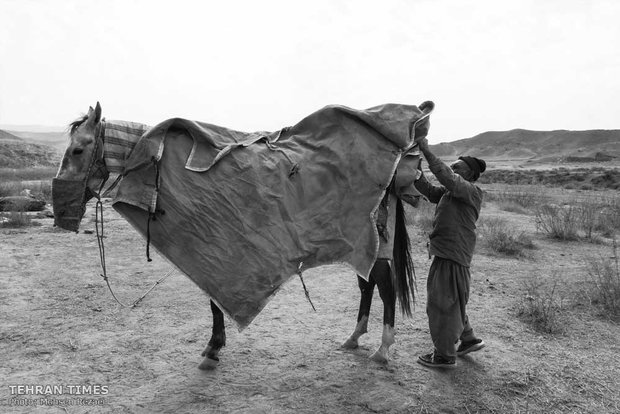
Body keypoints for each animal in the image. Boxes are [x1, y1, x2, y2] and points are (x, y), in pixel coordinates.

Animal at [52, 101, 432, 368]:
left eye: (78, 150)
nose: (61, 215)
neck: (156, 156)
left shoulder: (216, 251)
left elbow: (215, 300)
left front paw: (212, 349)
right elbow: (215, 299)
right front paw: (214, 346)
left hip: (372, 240)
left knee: (386, 287)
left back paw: (383, 349)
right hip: (364, 244)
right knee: (368, 285)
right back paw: (354, 337)